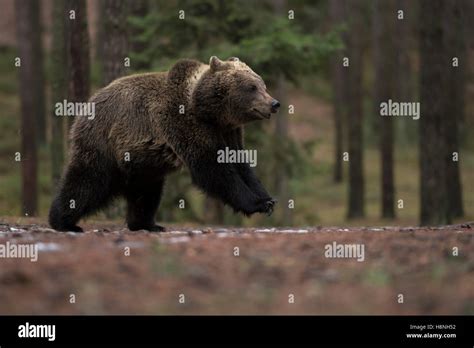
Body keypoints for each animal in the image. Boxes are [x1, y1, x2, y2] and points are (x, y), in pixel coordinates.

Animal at [49, 56, 278, 231]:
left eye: (263, 84)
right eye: (252, 87)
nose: (274, 103)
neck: (210, 113)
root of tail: (87, 105)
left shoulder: (229, 132)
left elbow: (241, 166)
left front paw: (267, 199)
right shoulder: (185, 124)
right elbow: (214, 170)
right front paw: (256, 203)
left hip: (142, 164)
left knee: (146, 194)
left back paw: (147, 224)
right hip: (103, 143)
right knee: (87, 180)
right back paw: (64, 222)